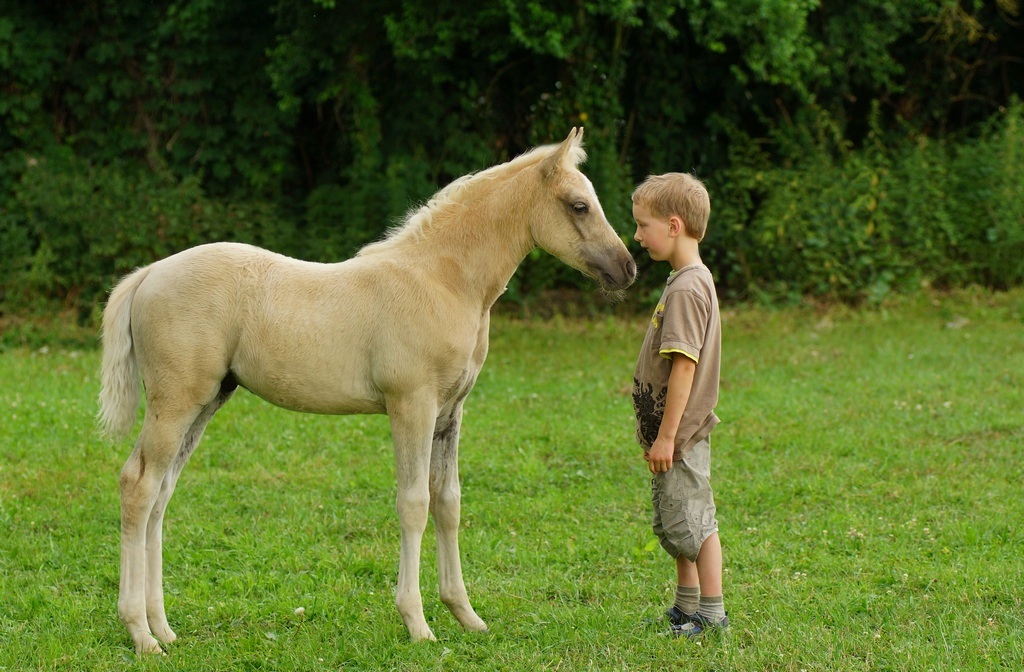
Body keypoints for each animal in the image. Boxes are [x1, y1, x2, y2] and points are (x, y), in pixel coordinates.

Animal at [99, 126, 634, 651]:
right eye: (578, 205)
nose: (627, 269)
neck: (443, 281)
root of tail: (150, 273)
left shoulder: (451, 412)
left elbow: (448, 502)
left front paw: (466, 615)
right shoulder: (412, 405)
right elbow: (414, 504)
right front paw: (417, 623)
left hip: (206, 402)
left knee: (161, 495)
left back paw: (164, 628)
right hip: (176, 402)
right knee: (138, 486)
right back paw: (140, 632)